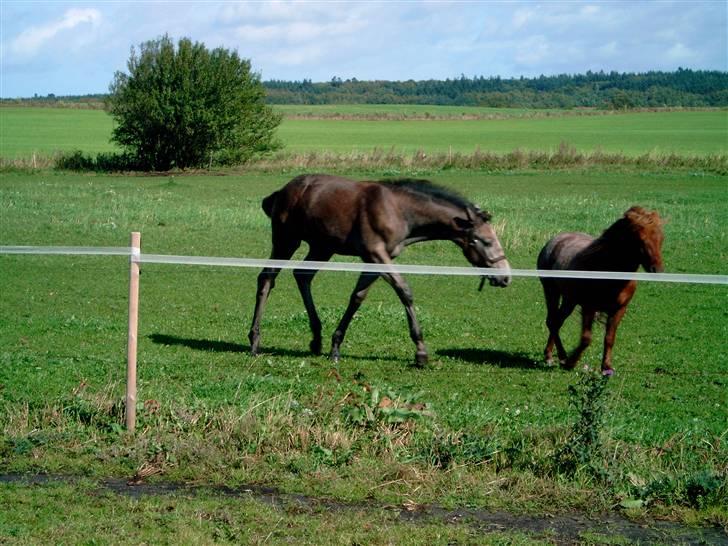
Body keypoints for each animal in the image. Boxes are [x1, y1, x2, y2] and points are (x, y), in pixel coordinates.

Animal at [247, 173, 510, 366]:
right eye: (485, 241)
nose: (505, 276)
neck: (399, 210)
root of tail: (281, 192)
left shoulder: (377, 260)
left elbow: (358, 297)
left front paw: (335, 347)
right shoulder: (376, 254)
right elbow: (404, 291)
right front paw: (421, 352)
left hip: (322, 247)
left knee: (302, 275)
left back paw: (316, 339)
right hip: (286, 241)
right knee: (267, 278)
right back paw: (254, 341)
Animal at [536, 205, 664, 374]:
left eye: (661, 239)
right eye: (641, 239)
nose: (657, 269)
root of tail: (554, 240)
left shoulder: (619, 309)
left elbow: (609, 339)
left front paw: (607, 367)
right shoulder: (589, 307)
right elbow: (586, 339)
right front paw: (571, 362)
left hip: (569, 300)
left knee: (557, 322)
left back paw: (552, 355)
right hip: (551, 291)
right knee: (552, 321)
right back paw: (558, 357)